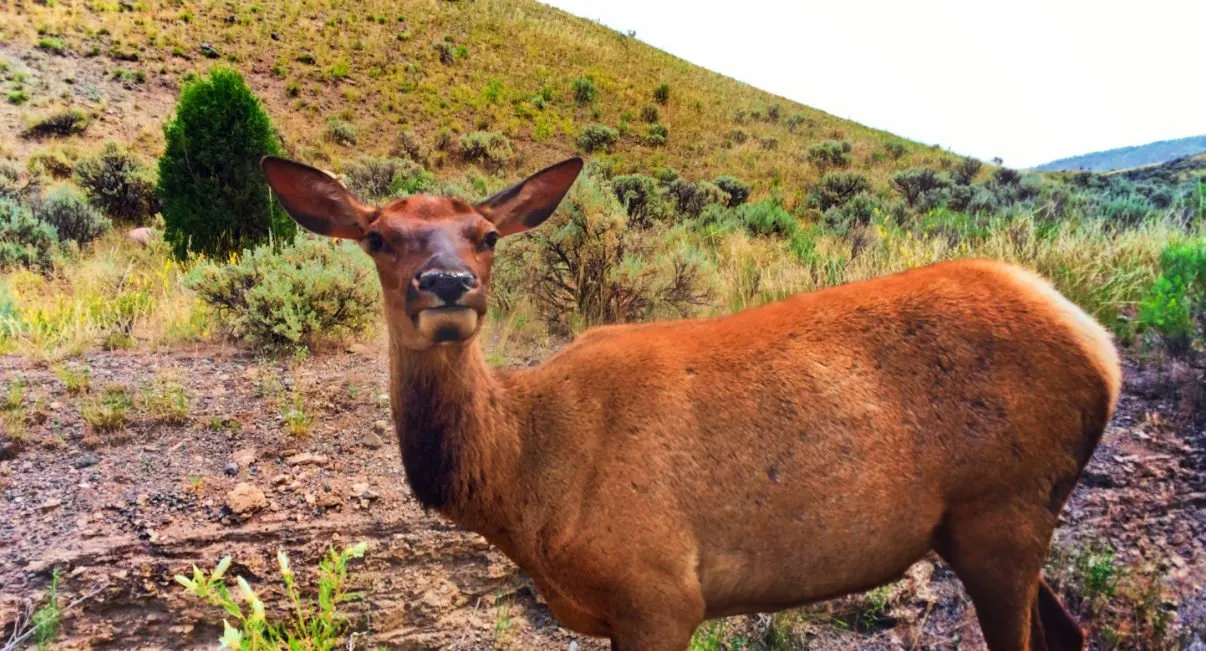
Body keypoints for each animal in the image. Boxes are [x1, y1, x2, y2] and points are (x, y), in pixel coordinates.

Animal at [261, 155, 1119, 646]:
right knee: (1069, 632)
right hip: (993, 522)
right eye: (378, 235)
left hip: (1004, 507)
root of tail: (1100, 345)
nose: (447, 284)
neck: (525, 487)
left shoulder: (661, 588)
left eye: (487, 234)